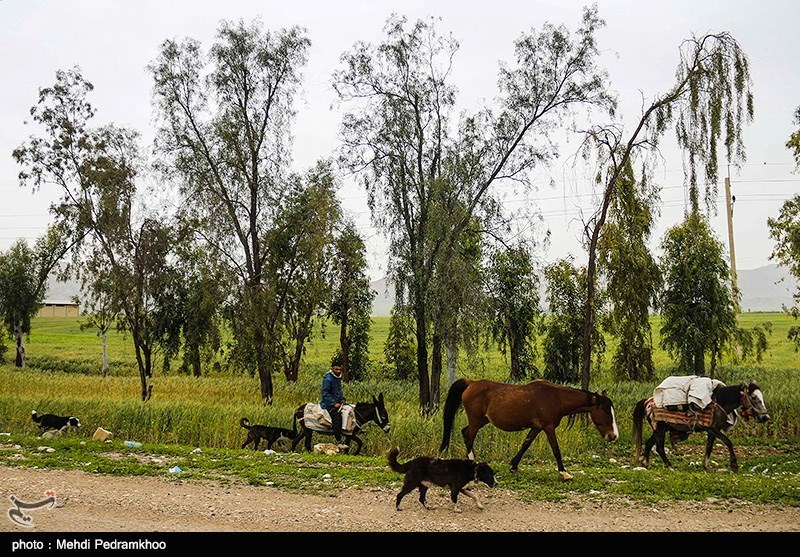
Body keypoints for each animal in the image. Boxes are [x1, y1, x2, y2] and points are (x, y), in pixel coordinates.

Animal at [438, 376, 620, 480]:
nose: (613, 436)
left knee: (464, 432)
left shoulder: (537, 428)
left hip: (483, 420)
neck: (556, 398)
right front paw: (564, 473)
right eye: (606, 411)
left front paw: (514, 466)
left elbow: (525, 445)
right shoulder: (548, 427)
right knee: (469, 436)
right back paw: (474, 465)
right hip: (476, 421)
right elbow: (556, 450)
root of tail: (470, 383)